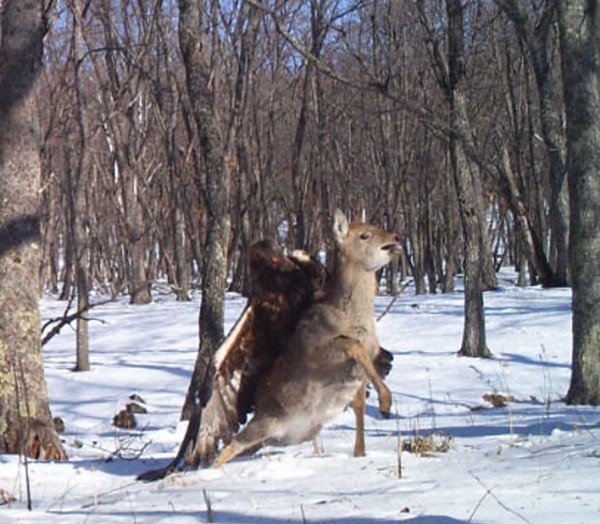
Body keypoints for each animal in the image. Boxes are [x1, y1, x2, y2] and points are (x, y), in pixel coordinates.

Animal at [211, 209, 404, 466]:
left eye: (375, 226)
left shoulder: (365, 364)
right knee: (231, 445)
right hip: (265, 422)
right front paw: (385, 404)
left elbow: (360, 405)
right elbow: (352, 345)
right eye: (364, 235)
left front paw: (360, 452)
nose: (396, 238)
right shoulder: (317, 350)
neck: (355, 319)